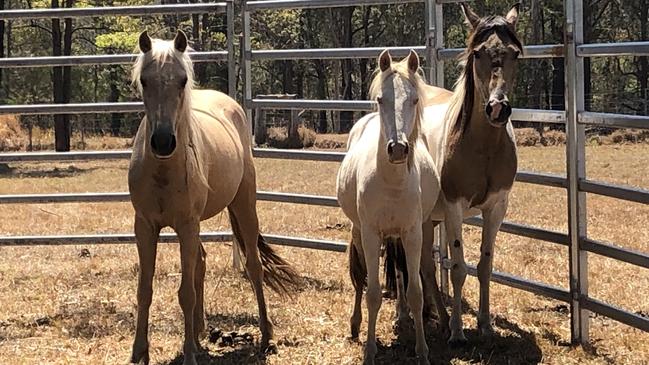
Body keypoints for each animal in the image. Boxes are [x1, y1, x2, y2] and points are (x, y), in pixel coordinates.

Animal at [127, 30, 298, 364]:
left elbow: (185, 293)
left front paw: (189, 354)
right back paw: (199, 333)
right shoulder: (146, 226)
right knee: (201, 263)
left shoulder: (187, 224)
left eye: (182, 80)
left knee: (254, 267)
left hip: (243, 205)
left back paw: (267, 337)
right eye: (144, 80)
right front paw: (139, 352)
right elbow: (145, 290)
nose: (163, 141)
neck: (163, 169)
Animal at [334, 49, 446, 364]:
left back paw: (402, 316)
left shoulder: (412, 233)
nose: (397, 149)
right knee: (360, 278)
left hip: (400, 235)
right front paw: (370, 351)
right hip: (358, 231)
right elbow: (372, 292)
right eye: (381, 99)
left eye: (415, 99)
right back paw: (356, 325)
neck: (391, 181)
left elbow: (416, 291)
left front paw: (422, 351)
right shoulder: (371, 234)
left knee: (400, 271)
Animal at [418, 2, 524, 344]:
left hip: (428, 219)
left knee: (425, 267)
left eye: (514, 53)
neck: (482, 147)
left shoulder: (496, 207)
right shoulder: (454, 207)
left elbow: (484, 266)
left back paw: (436, 317)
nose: (497, 108)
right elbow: (457, 267)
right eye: (477, 53)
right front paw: (457, 332)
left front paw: (485, 325)